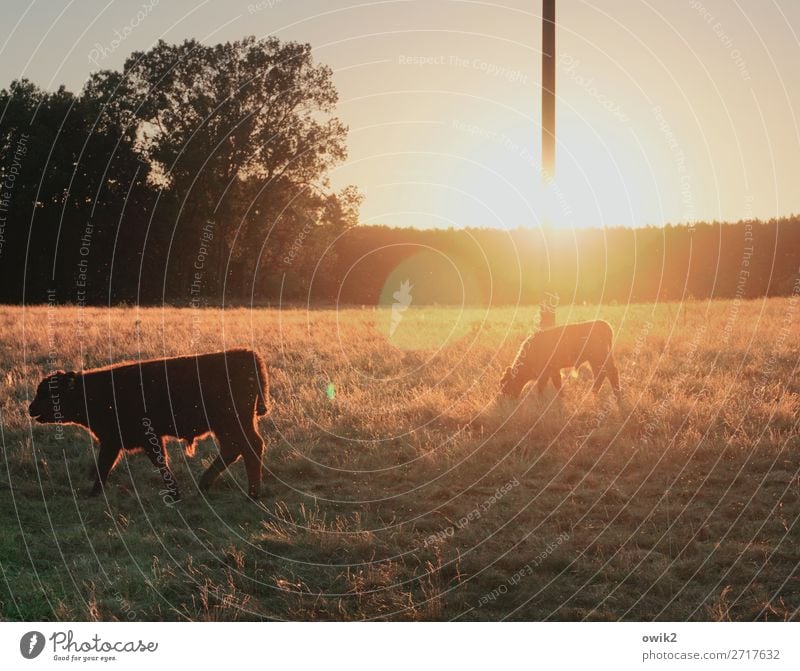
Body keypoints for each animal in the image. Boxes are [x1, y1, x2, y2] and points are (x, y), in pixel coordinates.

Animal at [29, 350, 270, 502]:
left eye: (49, 392)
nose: (30, 408)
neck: (91, 390)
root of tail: (249, 355)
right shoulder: (120, 440)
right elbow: (108, 465)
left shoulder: (129, 438)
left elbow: (146, 462)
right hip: (226, 427)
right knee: (234, 449)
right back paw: (206, 486)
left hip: (233, 423)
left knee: (249, 447)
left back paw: (251, 495)